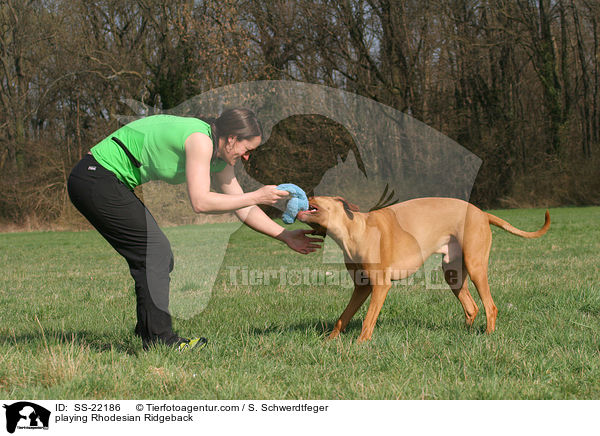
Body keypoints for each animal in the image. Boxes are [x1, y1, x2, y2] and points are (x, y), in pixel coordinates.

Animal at [296, 196, 548, 342]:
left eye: (314, 196)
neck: (353, 230)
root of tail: (482, 213)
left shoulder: (380, 286)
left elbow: (368, 320)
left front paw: (360, 344)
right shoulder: (362, 287)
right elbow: (343, 316)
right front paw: (330, 341)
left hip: (476, 267)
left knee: (490, 306)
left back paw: (488, 335)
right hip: (453, 274)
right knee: (471, 307)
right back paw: (465, 333)